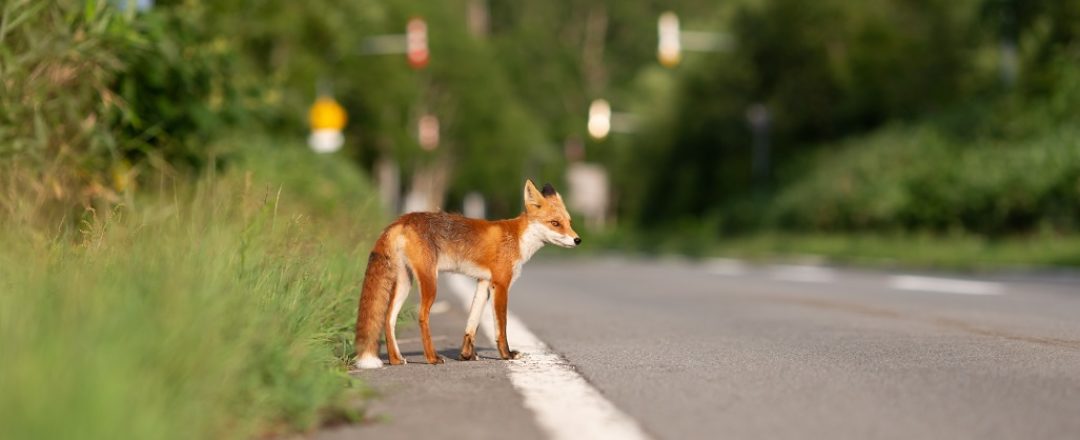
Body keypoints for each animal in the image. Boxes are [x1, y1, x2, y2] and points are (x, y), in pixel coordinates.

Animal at [354, 179, 578, 369]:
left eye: (569, 222)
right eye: (555, 223)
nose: (578, 240)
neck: (518, 239)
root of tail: (402, 219)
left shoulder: (484, 282)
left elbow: (472, 323)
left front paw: (466, 355)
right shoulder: (501, 284)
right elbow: (501, 327)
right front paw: (506, 354)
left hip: (405, 282)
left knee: (388, 318)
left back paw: (395, 359)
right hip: (430, 281)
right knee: (421, 316)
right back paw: (432, 357)